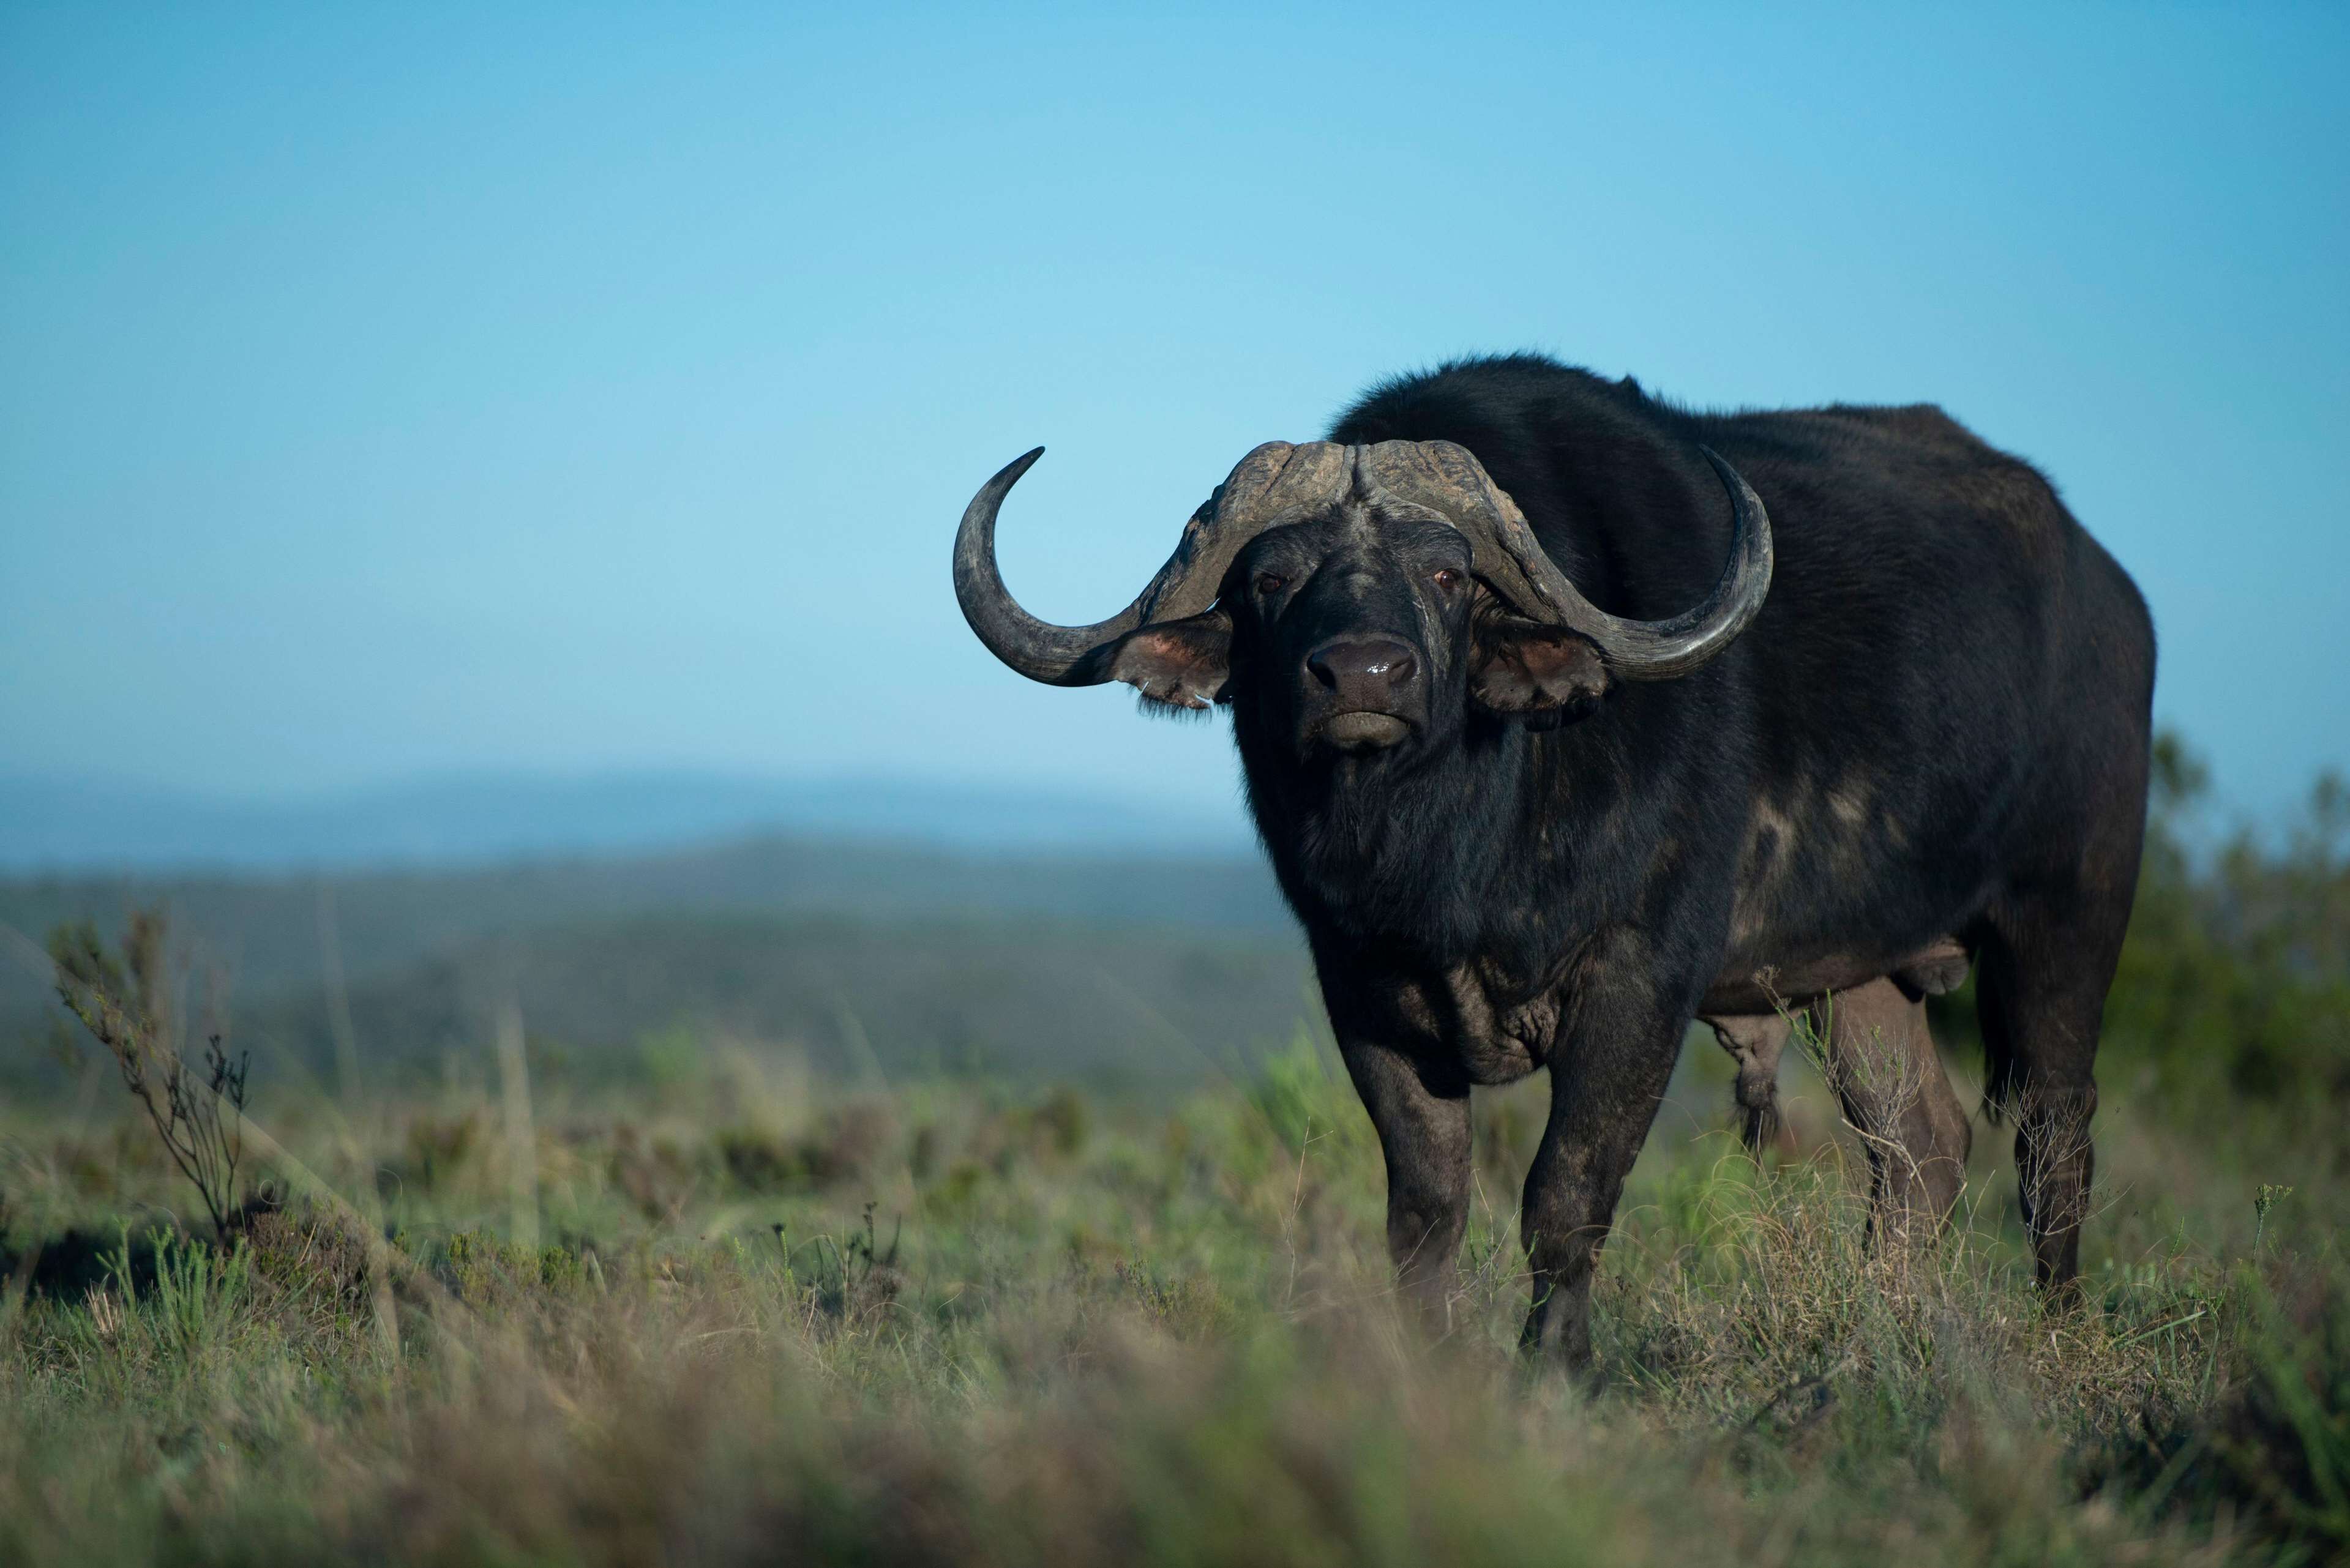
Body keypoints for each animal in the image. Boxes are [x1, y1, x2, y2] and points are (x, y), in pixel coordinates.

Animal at [953, 353, 2154, 1366]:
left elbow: (1564, 1193)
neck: (1458, 849)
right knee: (1918, 1147)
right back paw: (1878, 1324)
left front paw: (1554, 1371)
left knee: (2052, 1133)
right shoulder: (1363, 991)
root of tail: (2111, 592)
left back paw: (2056, 1328)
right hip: (1854, 976)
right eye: (1268, 579)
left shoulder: (1637, 980)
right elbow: (1425, 1205)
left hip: (2066, 915)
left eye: (1447, 576)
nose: (1362, 675)